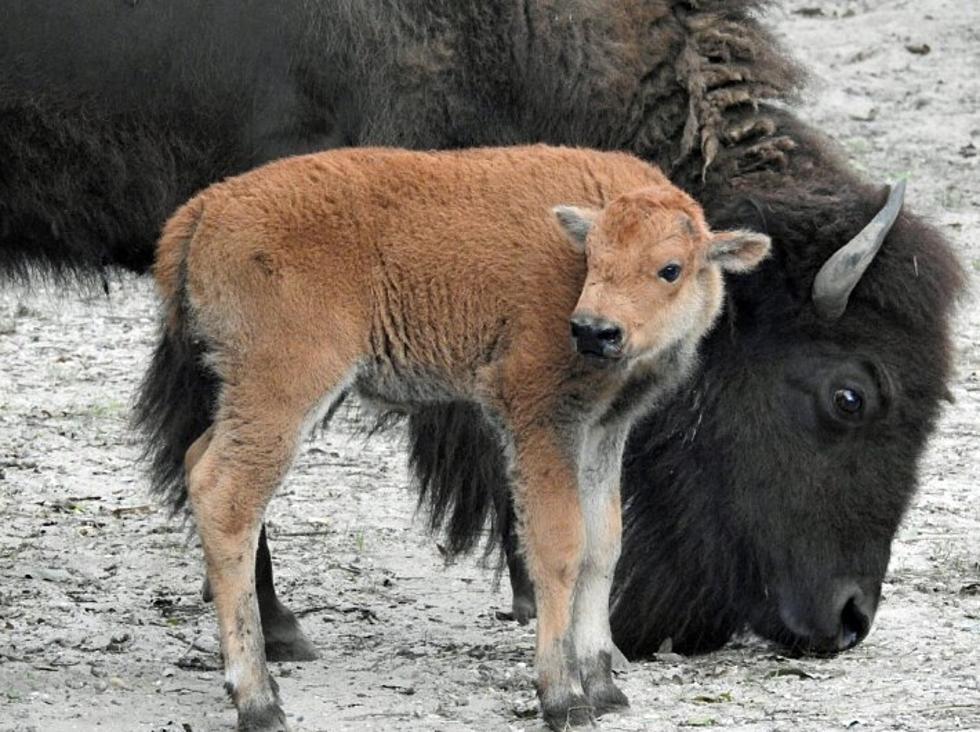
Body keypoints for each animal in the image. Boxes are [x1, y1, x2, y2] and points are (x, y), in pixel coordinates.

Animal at [140, 146, 764, 728]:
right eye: (593, 258)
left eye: (670, 269)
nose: (593, 331)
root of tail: (206, 207)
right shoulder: (540, 420)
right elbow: (559, 546)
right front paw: (562, 698)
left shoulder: (603, 431)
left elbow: (604, 545)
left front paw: (606, 688)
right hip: (283, 390)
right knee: (229, 497)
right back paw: (259, 700)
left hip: (245, 395)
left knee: (198, 461)